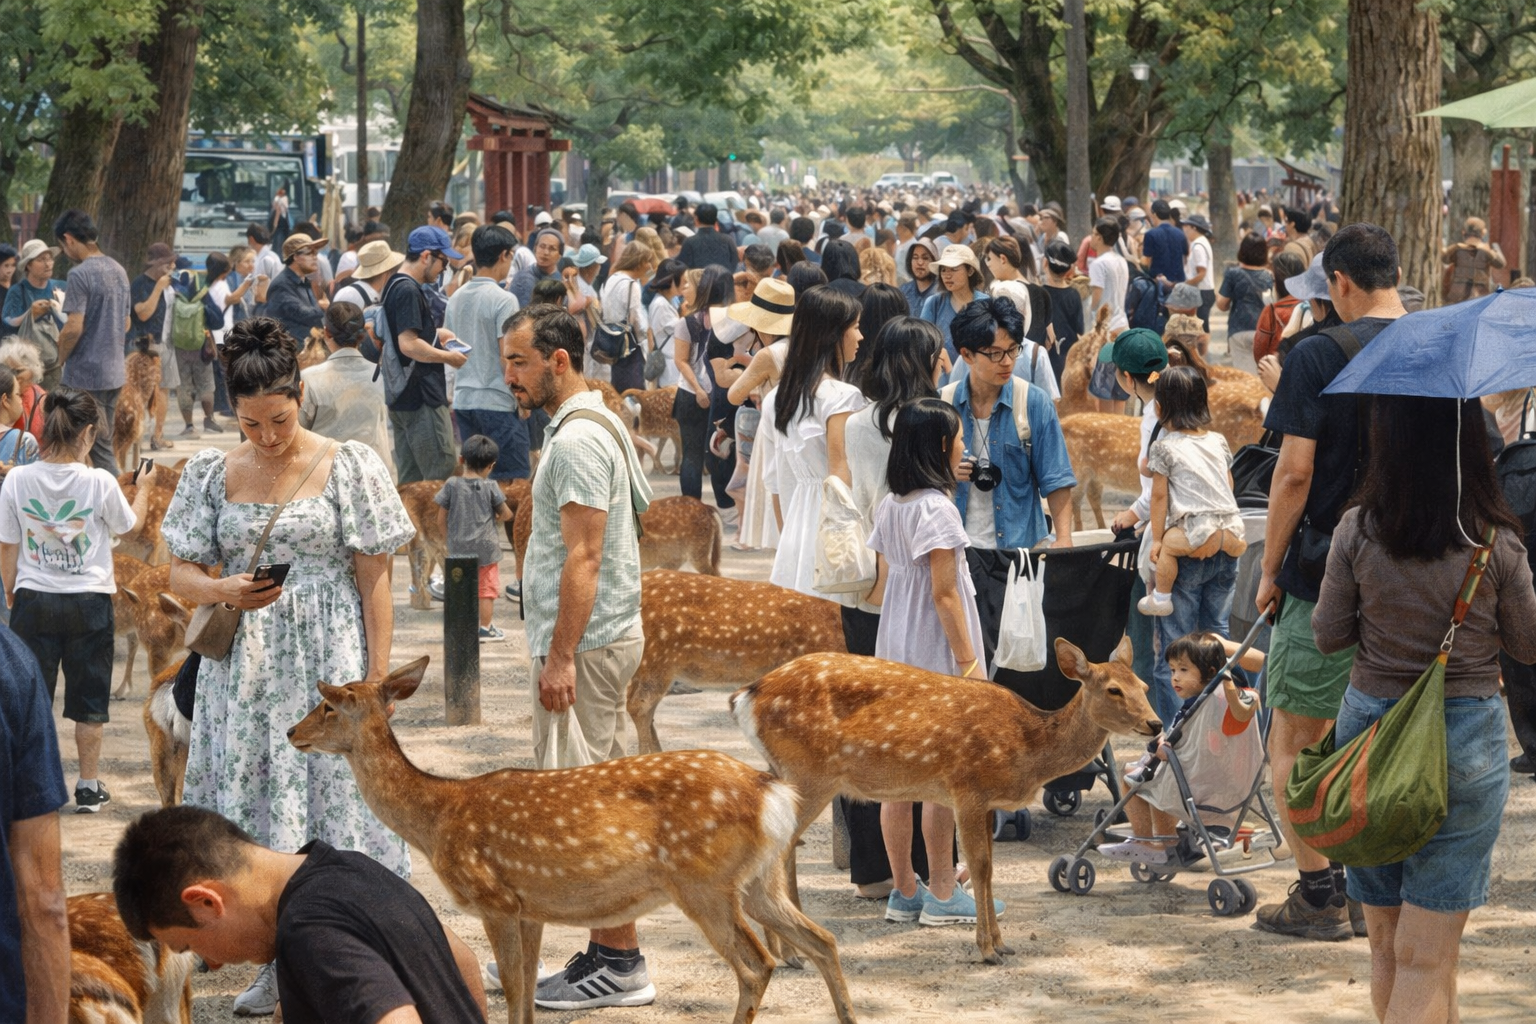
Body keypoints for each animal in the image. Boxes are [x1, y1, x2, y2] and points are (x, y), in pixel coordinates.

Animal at [286, 657, 858, 1024]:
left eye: (329, 706)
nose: (293, 732)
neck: (438, 816)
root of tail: (773, 792)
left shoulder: (494, 898)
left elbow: (512, 987)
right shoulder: (530, 905)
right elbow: (523, 993)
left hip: (704, 882)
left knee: (757, 965)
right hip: (759, 880)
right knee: (823, 941)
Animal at [731, 637, 1161, 964]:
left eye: (1143, 685)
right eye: (1113, 689)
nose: (1155, 724)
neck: (1027, 747)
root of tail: (745, 696)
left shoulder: (986, 802)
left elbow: (988, 869)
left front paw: (1003, 943)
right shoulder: (967, 788)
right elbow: (981, 867)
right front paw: (987, 950)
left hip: (788, 772)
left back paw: (789, 948)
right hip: (810, 773)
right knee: (781, 848)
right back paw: (790, 952)